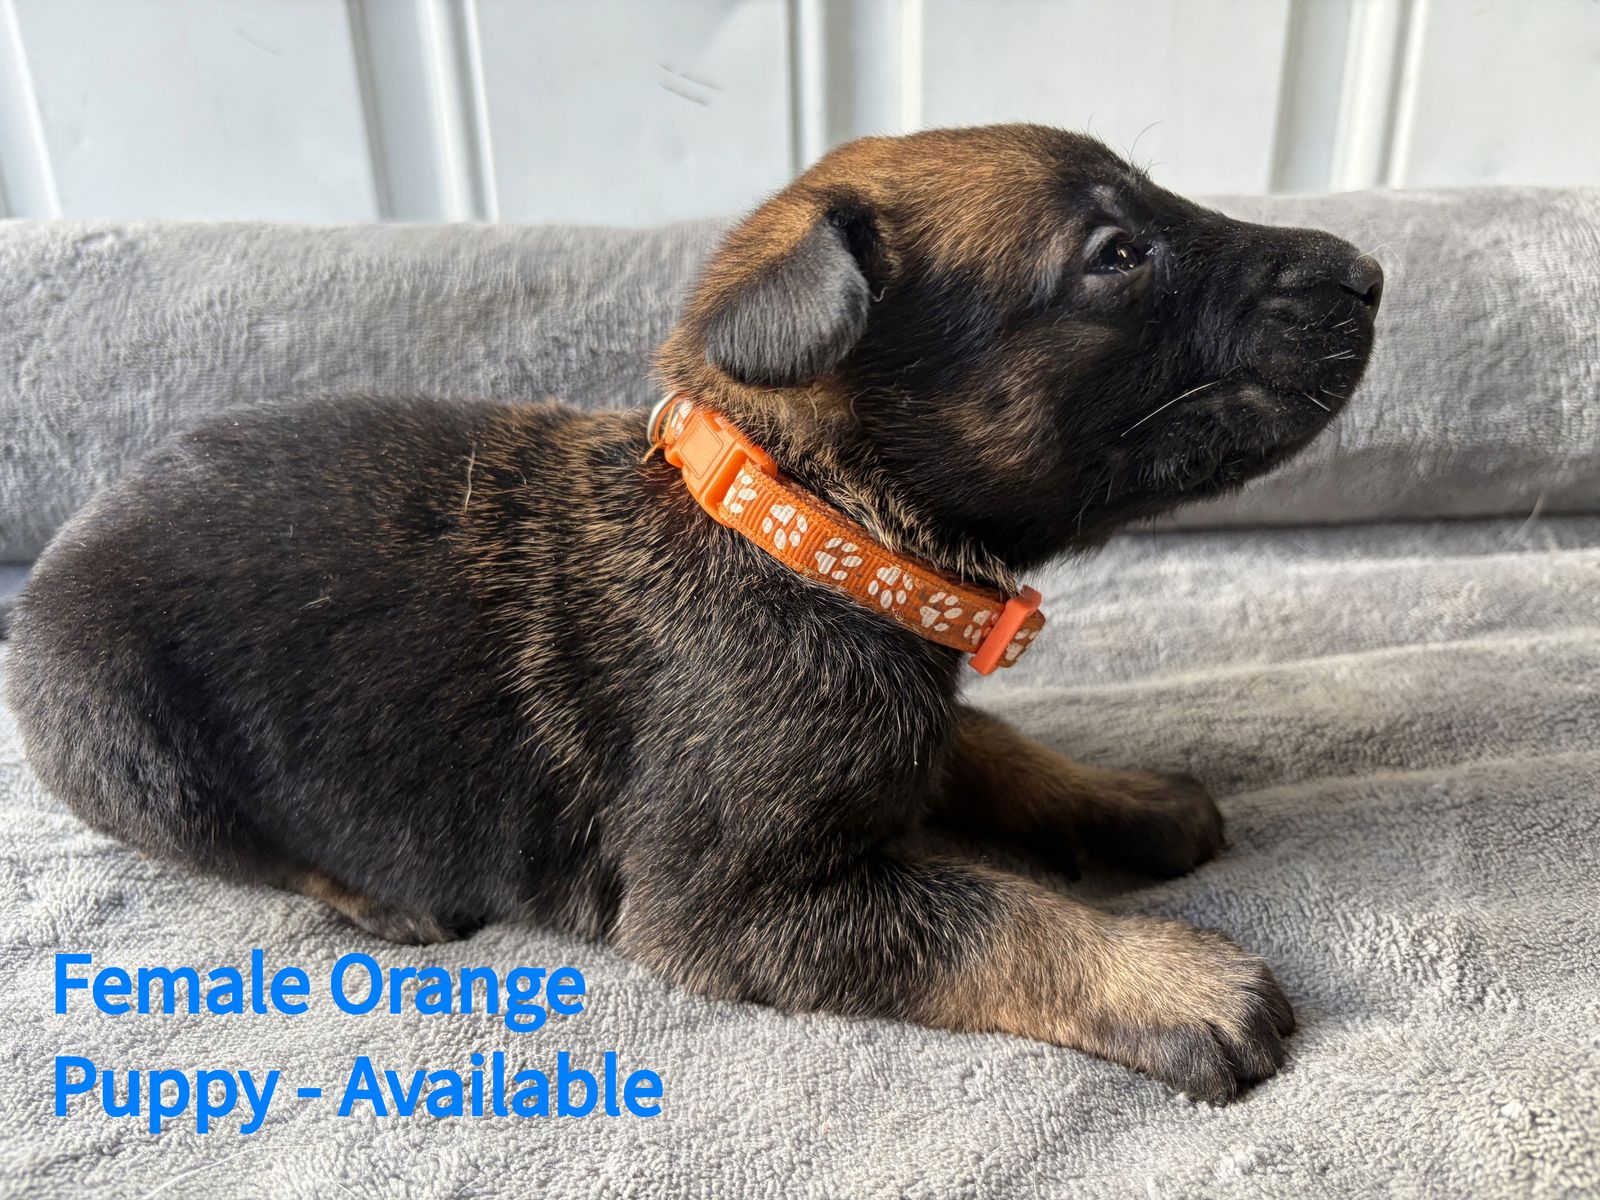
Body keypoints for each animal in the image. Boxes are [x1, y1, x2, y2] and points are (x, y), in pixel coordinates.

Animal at [7, 125, 1380, 1102]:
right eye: (1116, 256)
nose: (1371, 274)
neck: (806, 525)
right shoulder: (729, 907)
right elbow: (987, 914)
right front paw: (1169, 978)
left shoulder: (906, 722)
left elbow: (988, 746)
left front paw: (1123, 798)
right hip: (125, 742)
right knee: (238, 846)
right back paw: (378, 900)